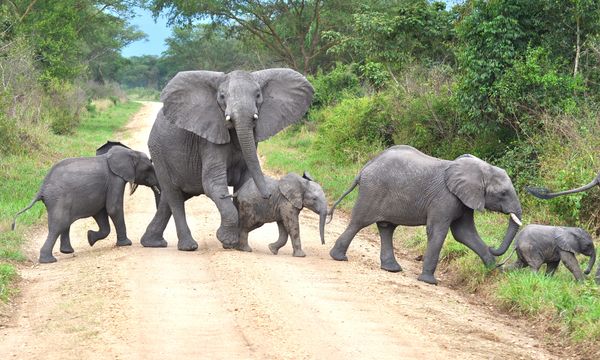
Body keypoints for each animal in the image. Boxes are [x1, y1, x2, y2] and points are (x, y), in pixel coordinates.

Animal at [13, 143, 161, 264]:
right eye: (149, 168)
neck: (130, 152)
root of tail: (42, 188)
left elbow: (101, 213)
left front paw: (90, 238)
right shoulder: (115, 179)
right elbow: (113, 208)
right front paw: (126, 244)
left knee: (64, 224)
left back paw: (67, 252)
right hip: (59, 198)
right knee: (59, 225)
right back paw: (49, 260)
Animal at [326, 146, 524, 284]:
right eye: (503, 193)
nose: (493, 246)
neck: (481, 168)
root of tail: (364, 168)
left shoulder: (463, 200)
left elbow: (464, 234)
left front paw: (495, 273)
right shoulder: (445, 198)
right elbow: (438, 232)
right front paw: (429, 282)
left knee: (386, 227)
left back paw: (392, 269)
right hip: (372, 191)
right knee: (358, 222)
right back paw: (338, 257)